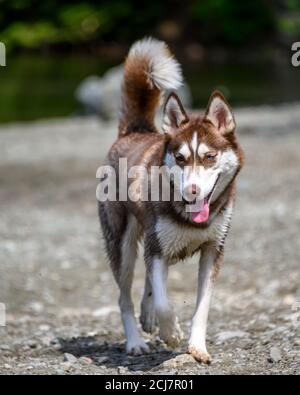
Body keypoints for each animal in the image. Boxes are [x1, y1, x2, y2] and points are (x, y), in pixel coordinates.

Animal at [98, 38, 244, 366]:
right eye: (180, 158)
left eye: (209, 157)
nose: (192, 191)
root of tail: (134, 131)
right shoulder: (157, 250)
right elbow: (165, 301)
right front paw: (171, 332)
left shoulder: (213, 252)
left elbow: (202, 306)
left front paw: (197, 346)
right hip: (122, 245)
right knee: (123, 295)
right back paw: (136, 341)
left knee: (148, 284)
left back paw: (147, 314)